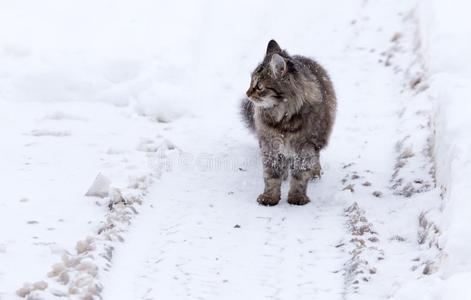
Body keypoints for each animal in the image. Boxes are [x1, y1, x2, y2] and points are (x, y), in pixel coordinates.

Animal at [242, 39, 338, 206]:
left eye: (259, 87)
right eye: (250, 82)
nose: (247, 93)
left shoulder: (306, 147)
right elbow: (271, 176)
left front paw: (297, 197)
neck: (283, 119)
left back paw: (314, 173)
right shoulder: (270, 146)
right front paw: (270, 197)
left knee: (316, 159)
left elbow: (300, 176)